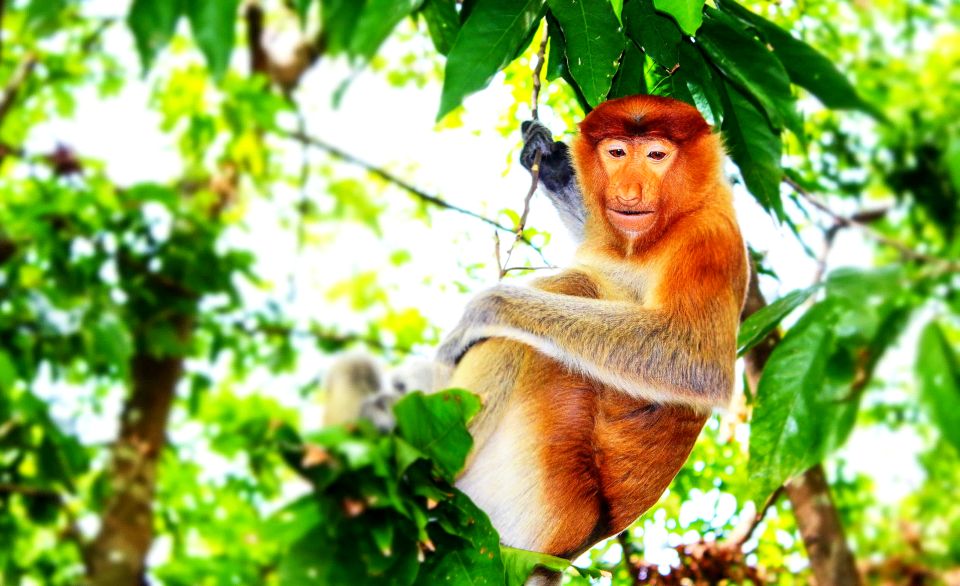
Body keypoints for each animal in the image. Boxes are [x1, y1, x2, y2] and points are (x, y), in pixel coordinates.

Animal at [436, 96, 752, 580]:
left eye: (656, 155)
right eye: (616, 152)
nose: (630, 192)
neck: (667, 223)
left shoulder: (706, 243)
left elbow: (698, 366)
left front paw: (486, 308)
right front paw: (548, 159)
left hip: (537, 493)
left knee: (570, 292)